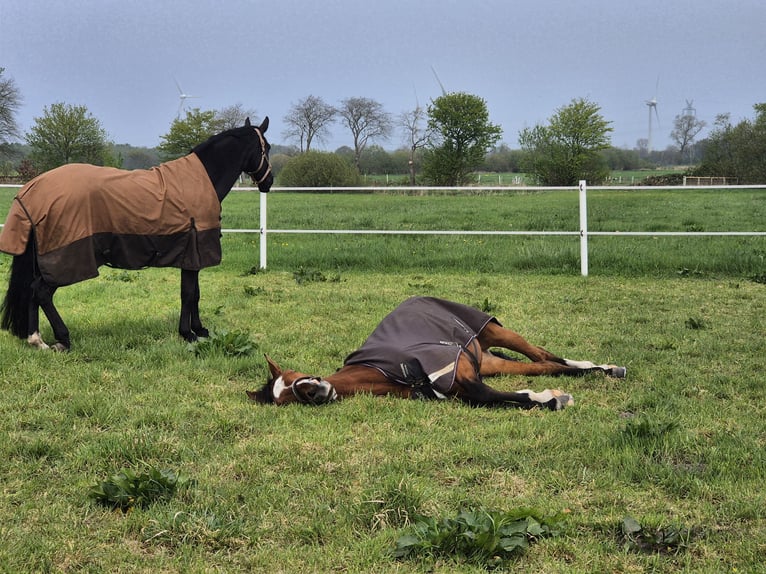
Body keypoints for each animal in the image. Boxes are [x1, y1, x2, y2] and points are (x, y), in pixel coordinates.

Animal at [0, 117, 273, 351]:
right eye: (267, 148)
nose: (269, 183)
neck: (201, 180)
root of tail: (33, 191)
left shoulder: (192, 256)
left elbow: (194, 293)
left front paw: (199, 329)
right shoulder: (193, 251)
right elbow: (188, 294)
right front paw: (188, 333)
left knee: (32, 291)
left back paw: (37, 340)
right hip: (65, 260)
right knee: (41, 292)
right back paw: (62, 339)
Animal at [248, 296, 626, 410]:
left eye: (294, 377)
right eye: (284, 399)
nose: (314, 390)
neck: (385, 371)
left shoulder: (462, 376)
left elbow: (492, 397)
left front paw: (551, 399)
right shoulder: (462, 383)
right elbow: (492, 397)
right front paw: (551, 397)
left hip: (496, 331)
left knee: (543, 354)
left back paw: (606, 368)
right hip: (489, 359)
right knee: (544, 364)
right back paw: (602, 369)